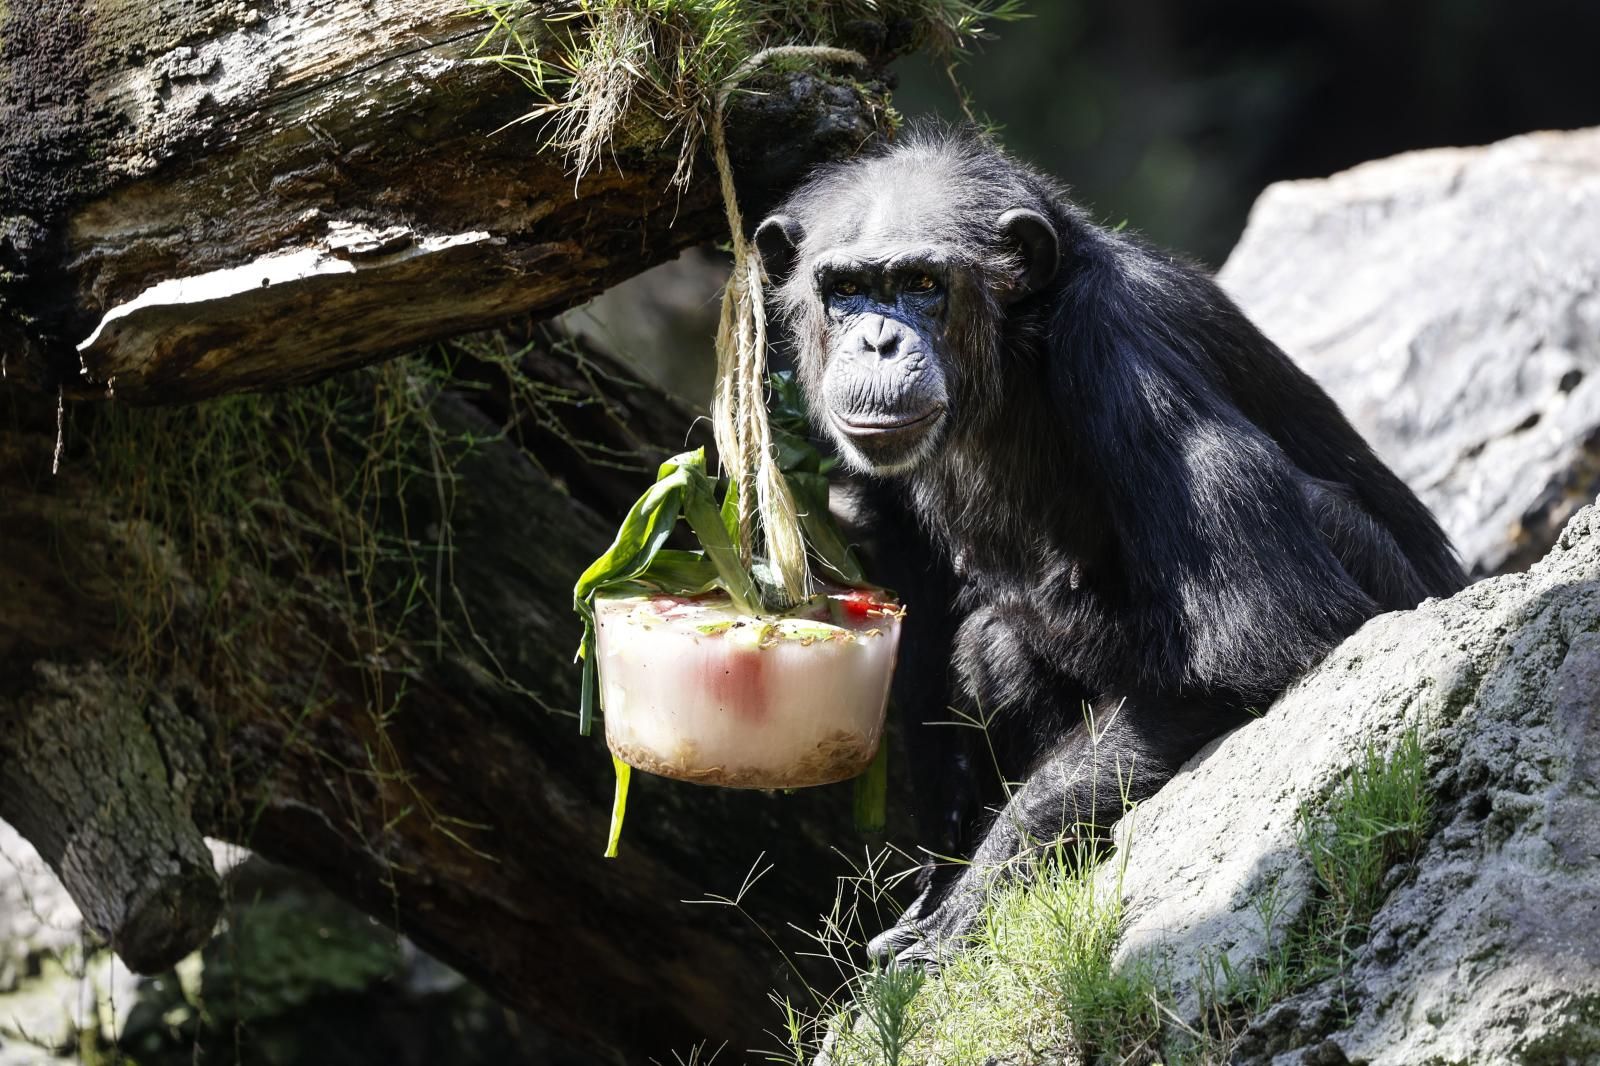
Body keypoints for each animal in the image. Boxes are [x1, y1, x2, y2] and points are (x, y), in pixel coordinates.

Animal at [755, 124, 1465, 960]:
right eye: (844, 289)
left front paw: (970, 901)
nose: (876, 340)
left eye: (922, 282)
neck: (1015, 352)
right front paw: (937, 881)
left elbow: (1262, 636)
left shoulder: (1121, 346)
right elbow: (917, 609)